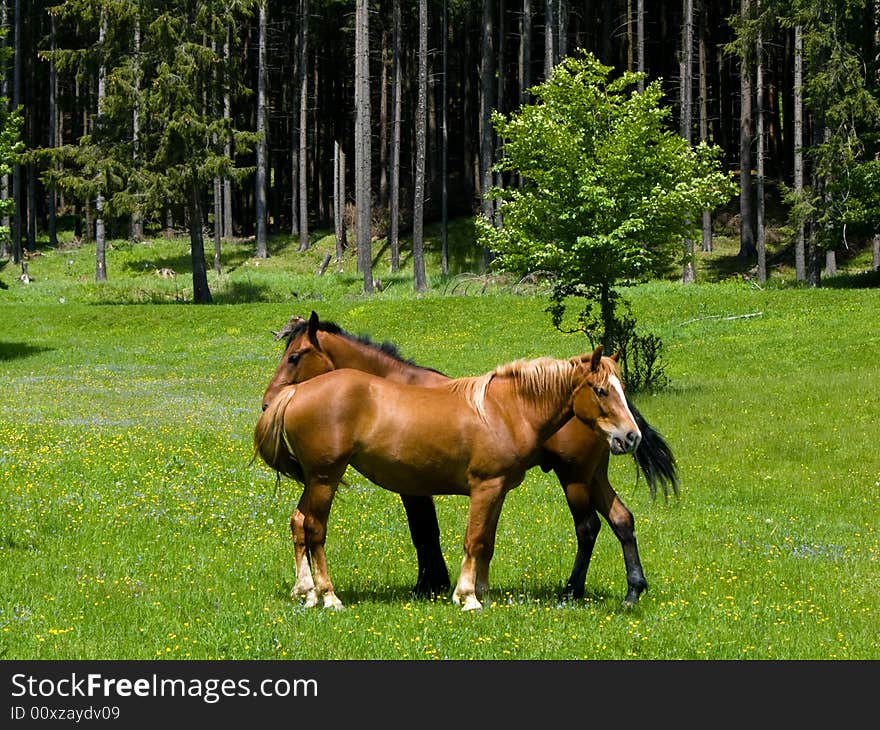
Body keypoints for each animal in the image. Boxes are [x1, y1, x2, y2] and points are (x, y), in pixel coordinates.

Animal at [262, 312, 680, 604]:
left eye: (295, 356)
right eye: (601, 390)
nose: (630, 435)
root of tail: (296, 396)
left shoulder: (471, 488)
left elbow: (469, 539)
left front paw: (460, 590)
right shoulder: (452, 487)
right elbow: (449, 536)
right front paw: (453, 591)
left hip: (580, 476)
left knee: (601, 524)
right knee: (309, 526)